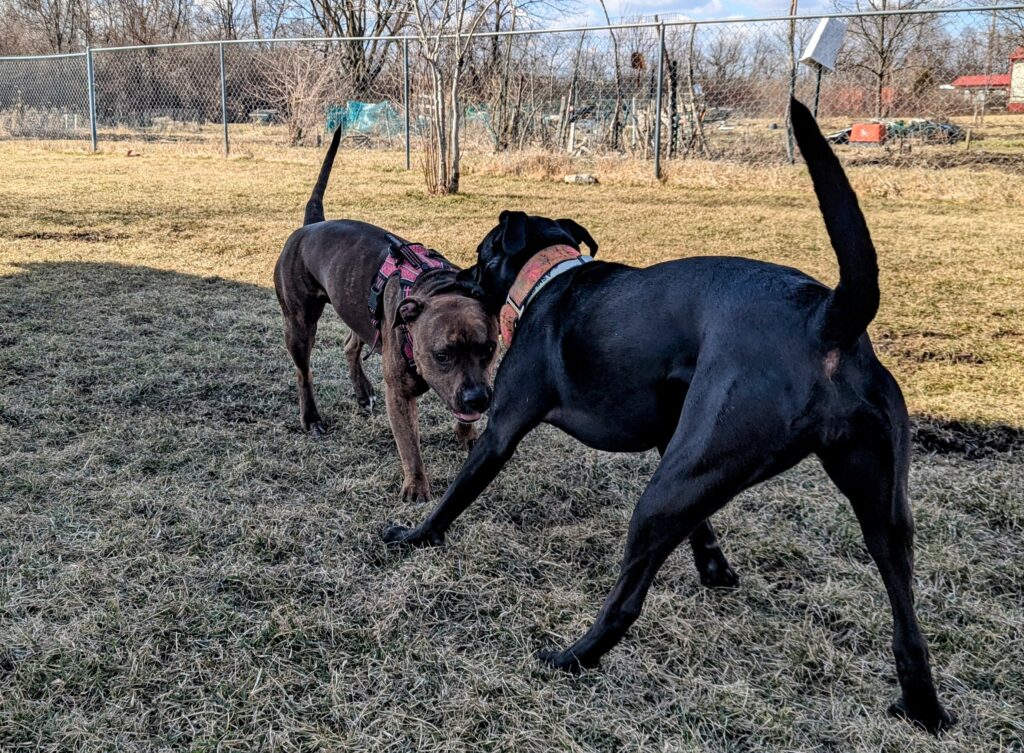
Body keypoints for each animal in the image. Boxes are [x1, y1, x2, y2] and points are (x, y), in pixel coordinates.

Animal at [272, 131, 495, 499]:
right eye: (442, 355)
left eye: (489, 349)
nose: (478, 398)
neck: (435, 287)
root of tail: (311, 226)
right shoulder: (400, 395)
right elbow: (409, 444)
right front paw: (416, 486)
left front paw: (467, 436)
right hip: (299, 324)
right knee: (303, 371)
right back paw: (312, 418)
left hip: (358, 310)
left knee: (351, 345)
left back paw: (363, 393)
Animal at [382, 97, 950, 733]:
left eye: (482, 256)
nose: (456, 275)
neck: (549, 278)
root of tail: (825, 317)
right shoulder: (668, 440)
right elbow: (702, 525)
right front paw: (714, 568)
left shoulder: (503, 428)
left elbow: (454, 495)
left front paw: (414, 536)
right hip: (868, 500)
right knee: (907, 619)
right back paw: (922, 708)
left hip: (667, 489)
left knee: (628, 599)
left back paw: (571, 657)